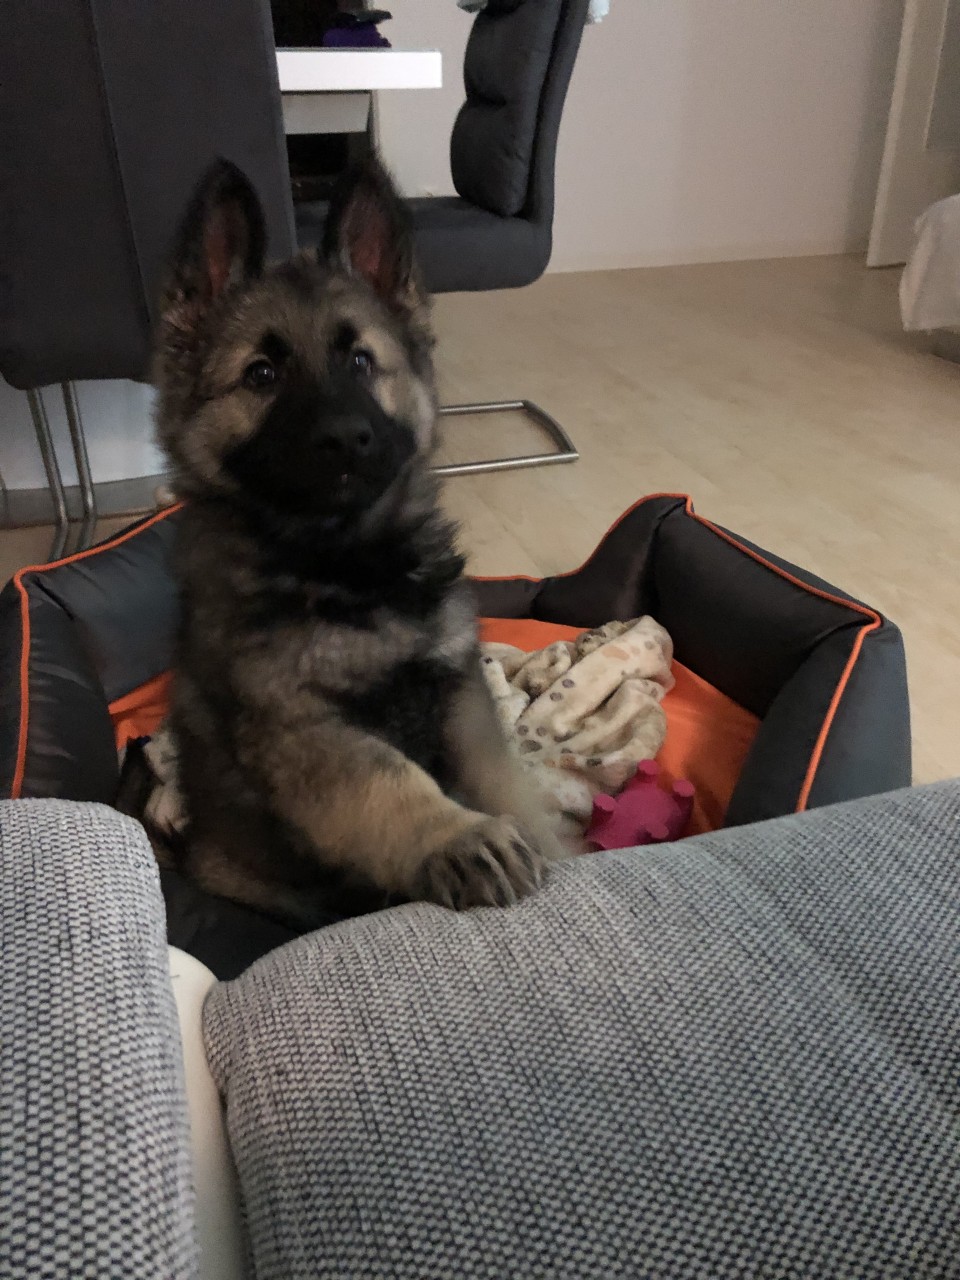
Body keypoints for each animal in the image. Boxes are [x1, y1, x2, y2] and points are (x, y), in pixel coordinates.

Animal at [152, 156, 562, 928]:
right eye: (262, 375)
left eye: (362, 363)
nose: (346, 438)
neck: (348, 561)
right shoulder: (303, 728)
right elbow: (387, 781)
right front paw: (458, 838)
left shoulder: (457, 694)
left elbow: (502, 780)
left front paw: (549, 845)